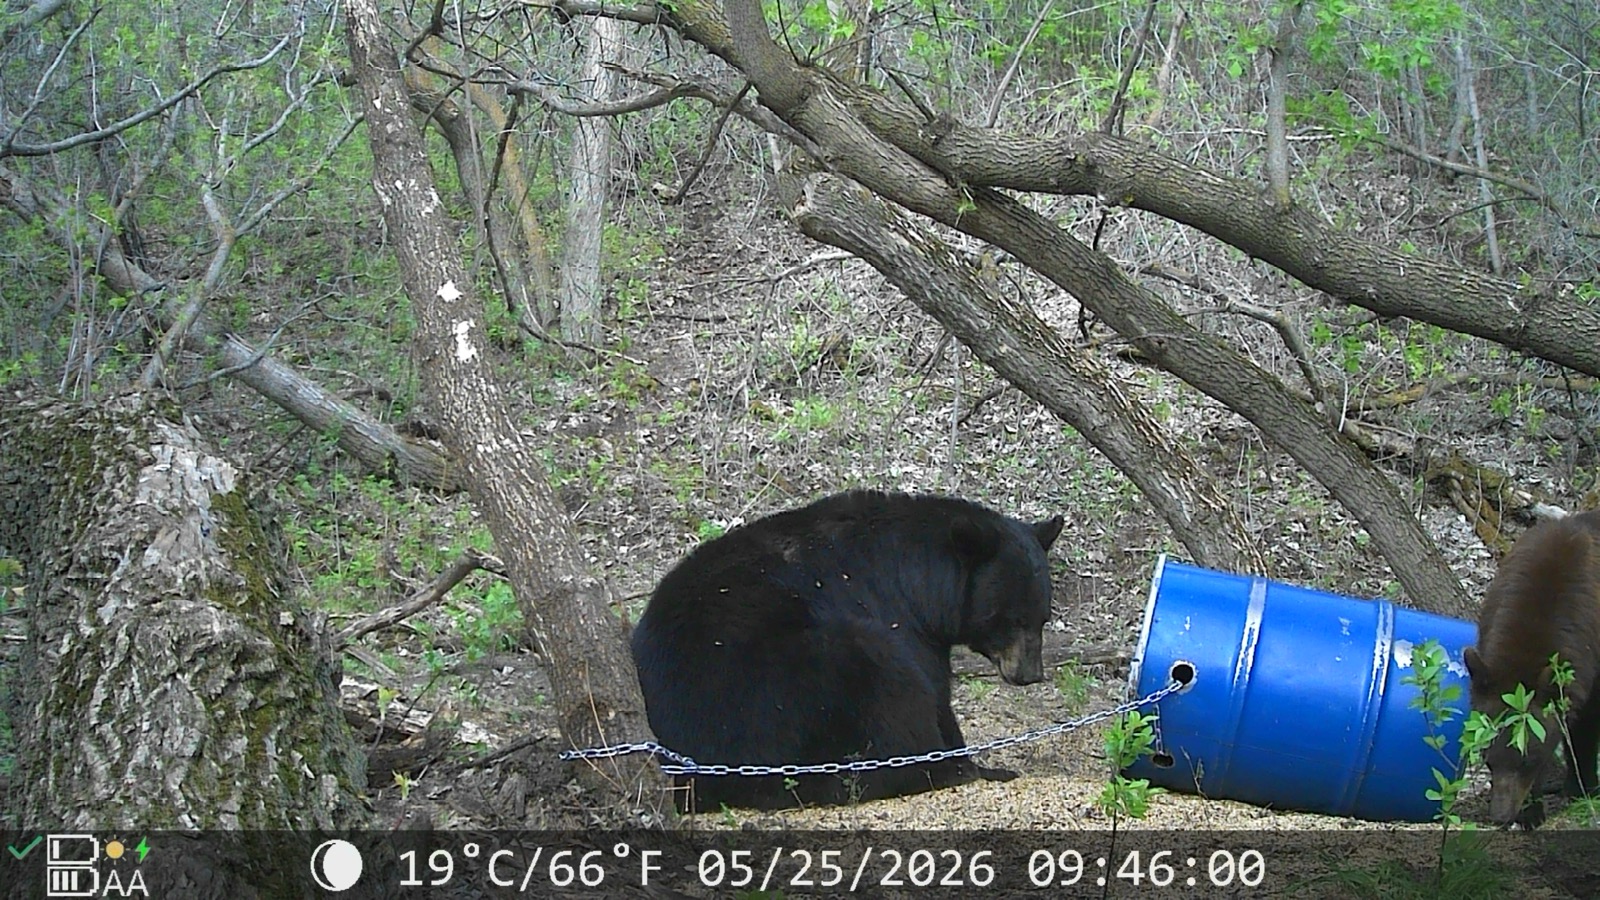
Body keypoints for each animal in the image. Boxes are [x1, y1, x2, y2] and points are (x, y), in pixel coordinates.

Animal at [629, 489, 1065, 812]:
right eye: (1010, 619)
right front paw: (967, 762)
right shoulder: (900, 620)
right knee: (882, 680)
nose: (1030, 674)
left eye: (1042, 617)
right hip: (778, 685)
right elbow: (933, 691)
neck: (920, 579)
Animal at [1464, 509, 1600, 827]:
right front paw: (1531, 812)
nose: (1500, 816)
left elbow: (1585, 727)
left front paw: (1581, 788)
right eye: (1488, 758)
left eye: (1527, 760)